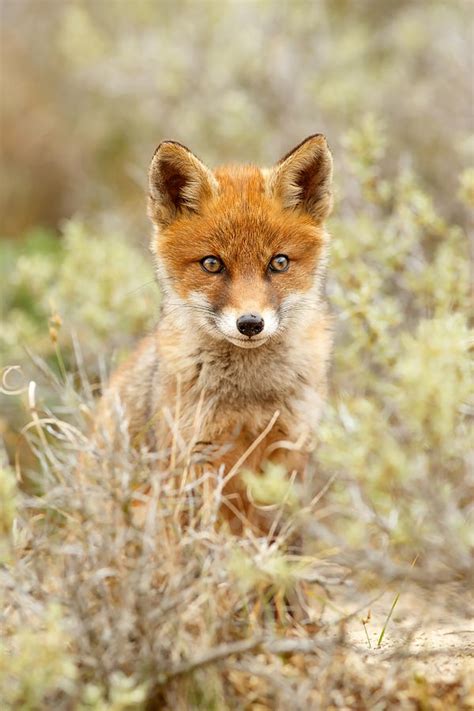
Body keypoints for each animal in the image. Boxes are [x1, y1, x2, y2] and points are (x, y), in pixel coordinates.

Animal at [96, 135, 334, 536]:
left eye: (279, 263)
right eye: (212, 264)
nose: (250, 323)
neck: (249, 397)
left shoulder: (288, 450)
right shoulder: (195, 456)